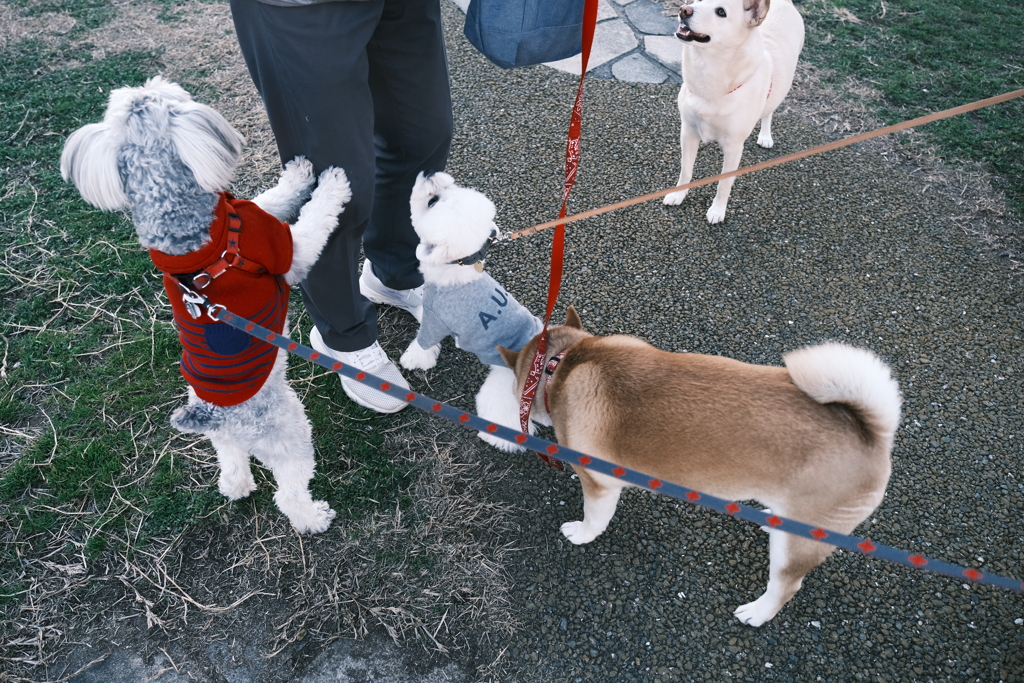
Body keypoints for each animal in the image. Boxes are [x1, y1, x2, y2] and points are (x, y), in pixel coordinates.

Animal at [64, 76, 354, 532]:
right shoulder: (289, 249)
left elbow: (274, 196)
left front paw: (297, 173)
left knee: (232, 464)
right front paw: (331, 184)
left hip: (226, 441)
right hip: (290, 432)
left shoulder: (251, 214)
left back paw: (236, 487)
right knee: (289, 492)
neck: (188, 241)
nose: (160, 82)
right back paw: (314, 517)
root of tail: (214, 416)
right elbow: (314, 219)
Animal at [397, 171, 544, 450]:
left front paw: (412, 360)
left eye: (432, 202)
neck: (456, 266)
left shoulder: (434, 318)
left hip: (501, 391)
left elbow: (423, 344)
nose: (431, 175)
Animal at [667, 0, 802, 224]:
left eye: (721, 12)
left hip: (781, 88)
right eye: (699, 1)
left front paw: (717, 210)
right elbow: (685, 170)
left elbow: (724, 183)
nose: (684, 10)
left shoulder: (734, 147)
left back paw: (765, 136)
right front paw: (678, 194)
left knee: (769, 112)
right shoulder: (688, 132)